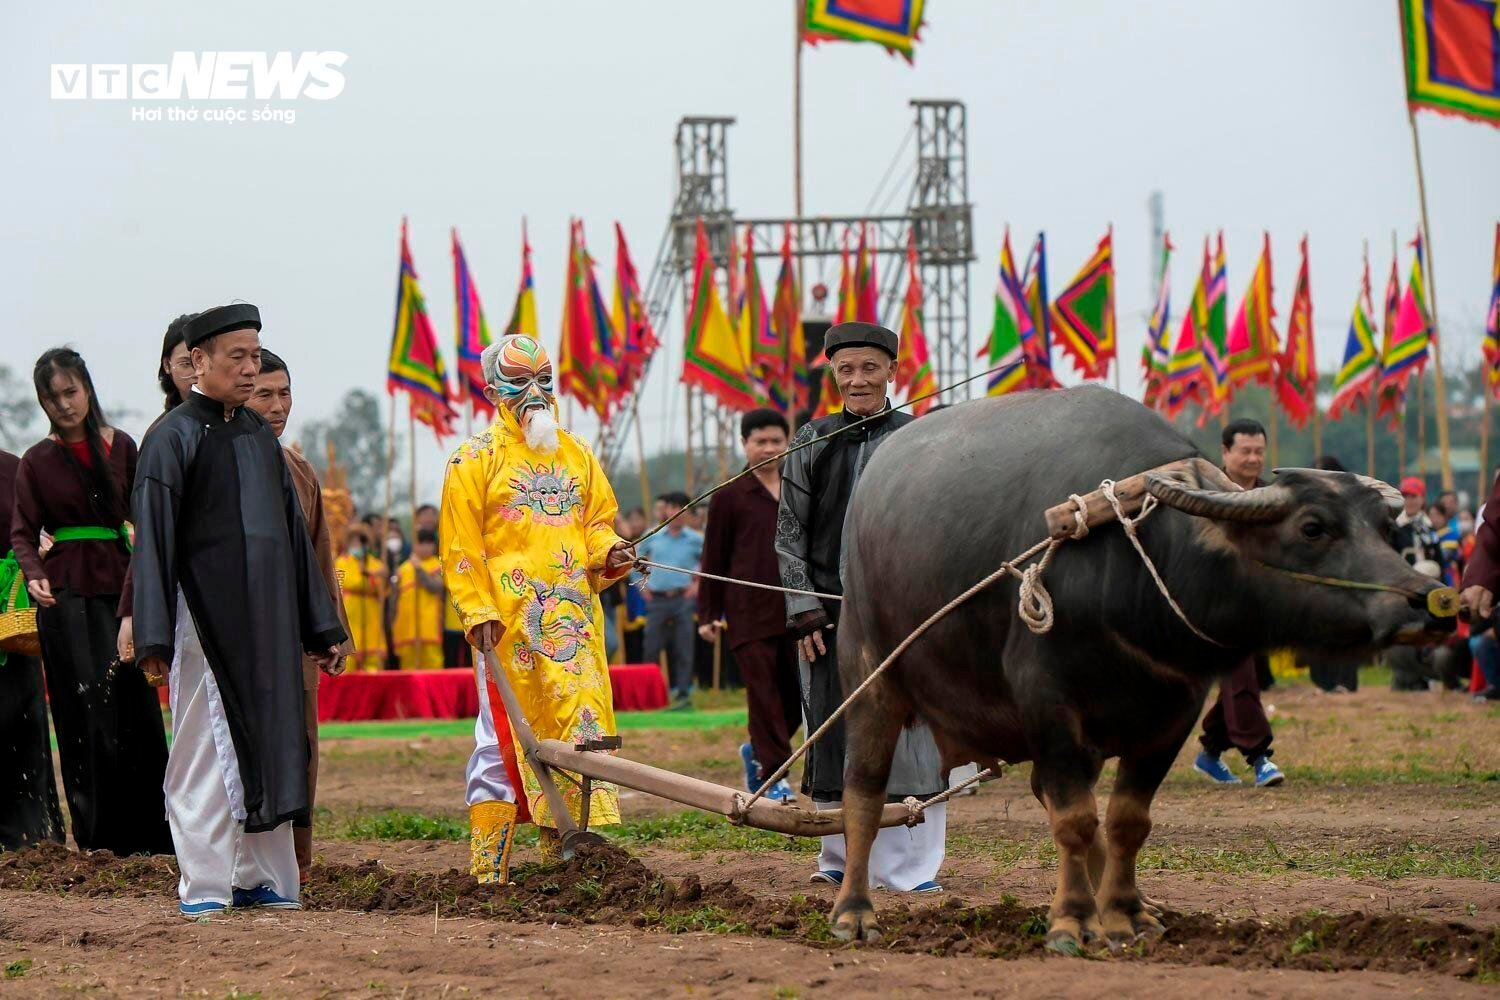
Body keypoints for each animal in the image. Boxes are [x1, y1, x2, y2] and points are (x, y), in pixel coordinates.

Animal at [834, 386, 1452, 953]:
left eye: (1384, 530)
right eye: (1313, 527)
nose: (1429, 603)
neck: (1137, 566)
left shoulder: (1174, 711)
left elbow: (1127, 820)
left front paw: (1125, 914)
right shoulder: (1047, 704)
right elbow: (1074, 818)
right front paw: (1072, 922)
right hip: (870, 680)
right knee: (864, 792)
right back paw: (854, 912)